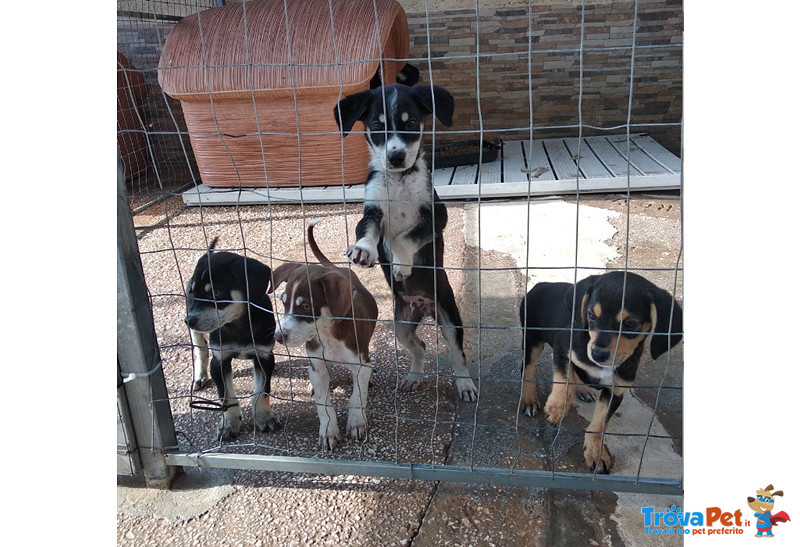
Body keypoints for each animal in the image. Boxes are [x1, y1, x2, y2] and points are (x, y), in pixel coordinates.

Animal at [186, 239, 280, 440]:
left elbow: (262, 391)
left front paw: (264, 417)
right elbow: (226, 396)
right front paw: (229, 424)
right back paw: (200, 376)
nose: (188, 320)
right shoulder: (220, 360)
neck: (238, 324)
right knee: (200, 347)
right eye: (192, 292)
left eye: (216, 292)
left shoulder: (264, 356)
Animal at [272, 220, 378, 452]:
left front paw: (357, 423)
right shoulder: (318, 367)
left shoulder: (360, 362)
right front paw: (328, 431)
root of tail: (334, 267)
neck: (328, 334)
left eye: (306, 306)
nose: (278, 337)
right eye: (284, 303)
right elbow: (323, 402)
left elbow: (357, 396)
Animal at [334, 84, 478, 402]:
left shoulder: (436, 215)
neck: (399, 180)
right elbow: (368, 231)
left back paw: (465, 384)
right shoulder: (372, 210)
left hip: (449, 316)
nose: (396, 157)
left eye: (411, 123)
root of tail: (421, 306)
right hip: (401, 324)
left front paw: (401, 265)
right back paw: (413, 377)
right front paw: (363, 250)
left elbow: (404, 236)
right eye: (377, 126)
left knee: (458, 353)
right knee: (420, 347)